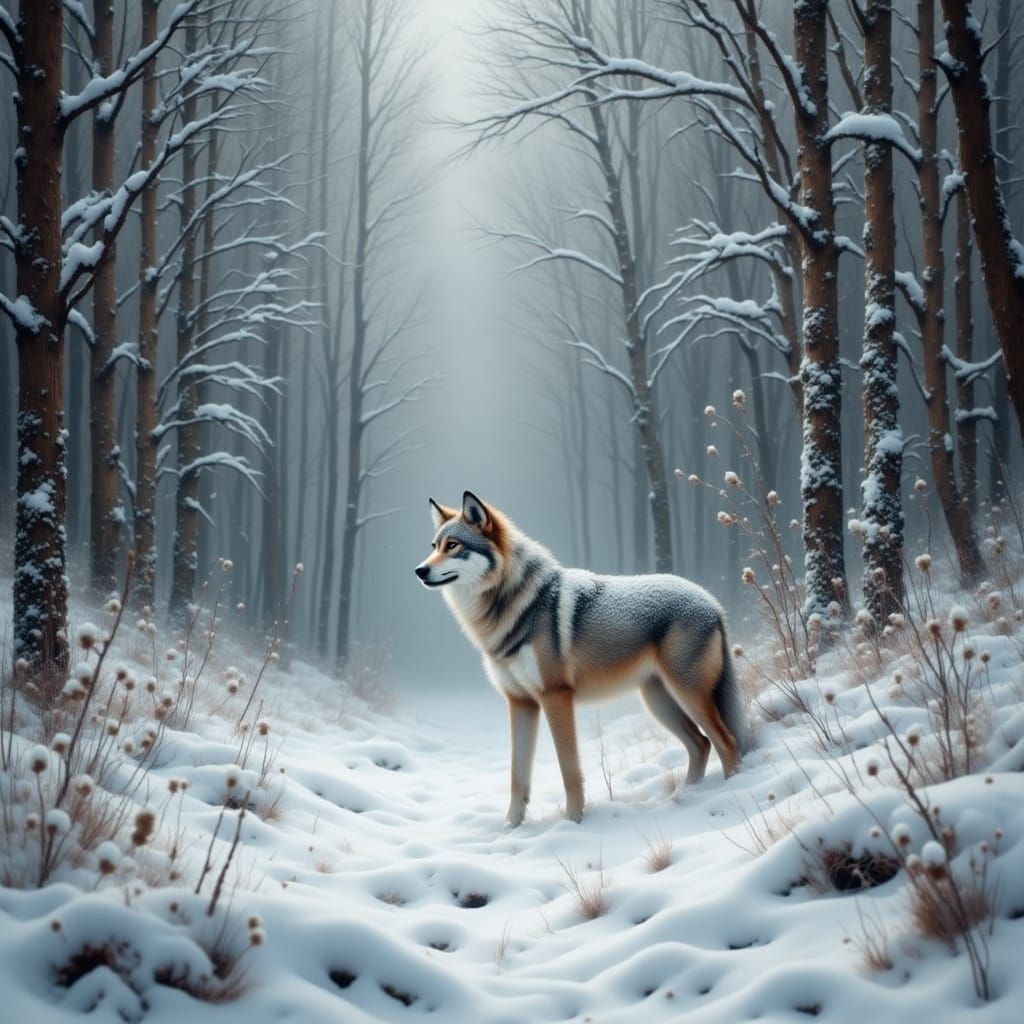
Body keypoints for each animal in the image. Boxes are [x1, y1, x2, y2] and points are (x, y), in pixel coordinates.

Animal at [414, 491, 751, 826]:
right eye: (434, 546)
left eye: (453, 546)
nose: (419, 570)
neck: (514, 608)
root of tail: (712, 601)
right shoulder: (520, 703)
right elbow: (517, 777)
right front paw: (511, 827)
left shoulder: (556, 697)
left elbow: (569, 770)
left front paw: (573, 821)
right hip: (658, 702)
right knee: (701, 744)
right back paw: (687, 795)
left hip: (687, 695)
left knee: (727, 741)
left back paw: (730, 791)